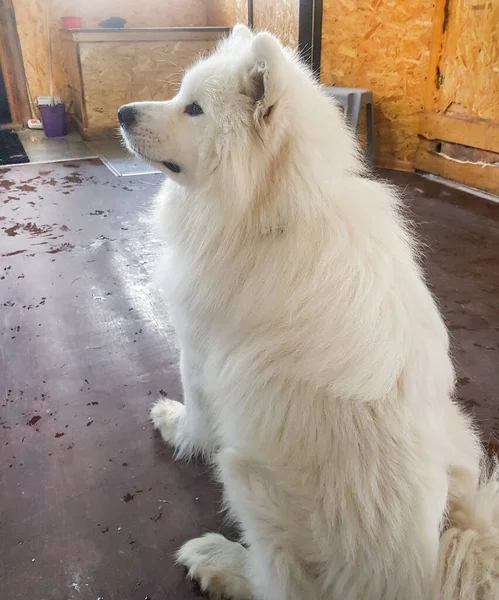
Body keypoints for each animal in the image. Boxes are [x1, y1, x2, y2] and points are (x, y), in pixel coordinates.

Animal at [120, 24, 499, 600]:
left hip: (247, 472)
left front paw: (176, 428)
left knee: (282, 585)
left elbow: (198, 414)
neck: (274, 211)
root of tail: (426, 572)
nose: (121, 113)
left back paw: (218, 562)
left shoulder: (201, 351)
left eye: (195, 109)